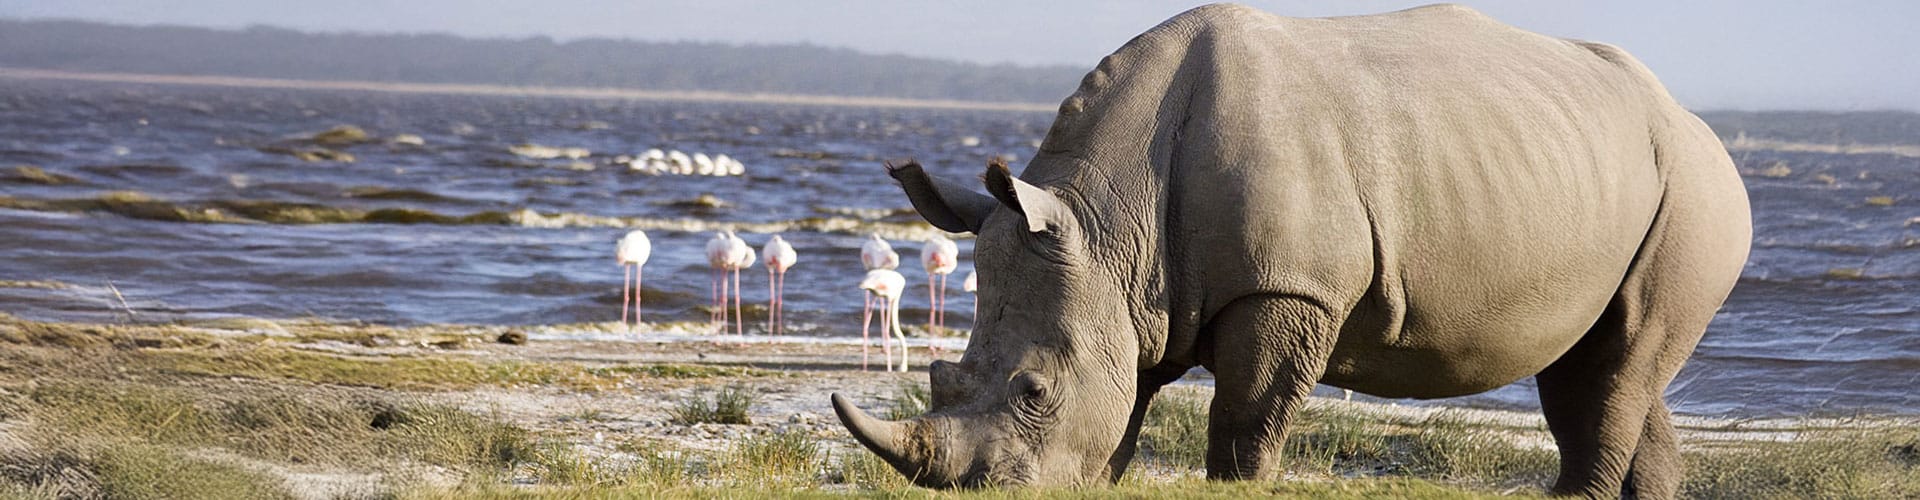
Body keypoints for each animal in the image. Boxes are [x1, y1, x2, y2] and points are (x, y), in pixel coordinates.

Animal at [831, 3, 1751, 498]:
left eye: (1033, 392)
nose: (984, 493)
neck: (1109, 220)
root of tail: (1696, 122)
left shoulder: (1290, 287)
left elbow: (1246, 420)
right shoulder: (1132, 295)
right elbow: (1127, 407)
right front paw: (1094, 482)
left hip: (1700, 193)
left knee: (1619, 362)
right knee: (1600, 363)